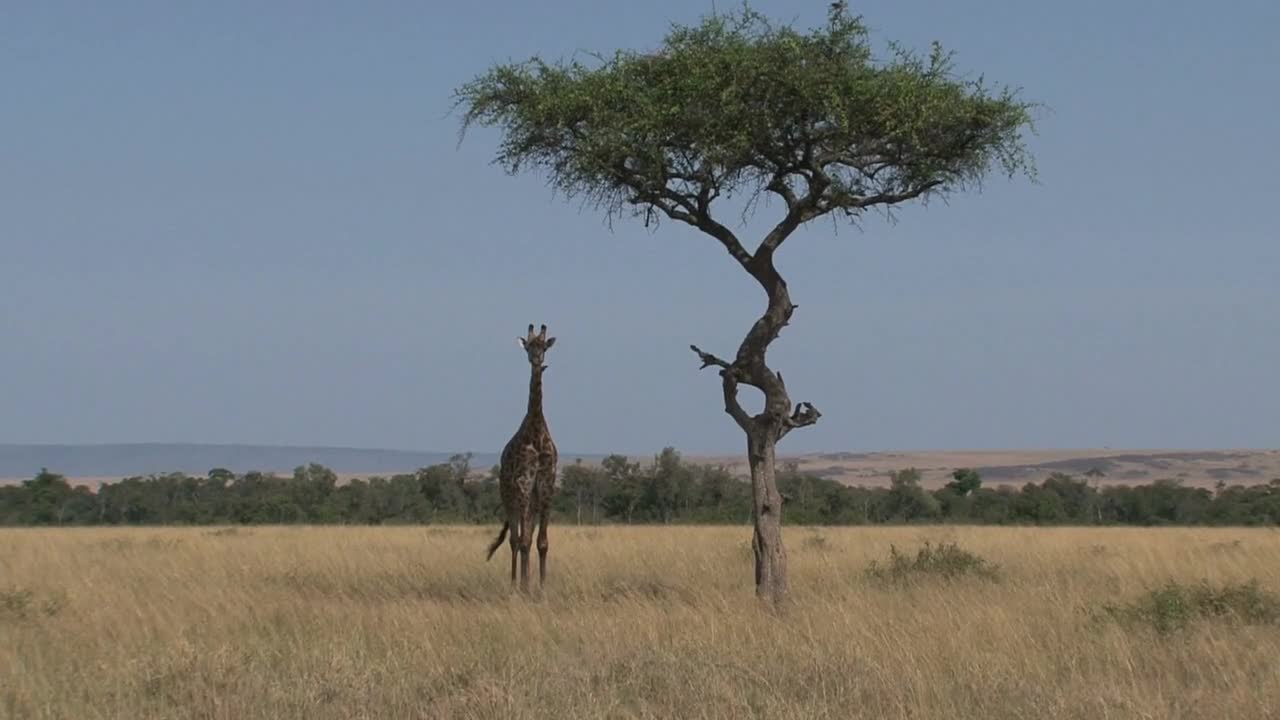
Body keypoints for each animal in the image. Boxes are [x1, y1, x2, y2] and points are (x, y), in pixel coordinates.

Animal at [483, 320, 555, 589]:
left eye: (543, 346)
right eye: (528, 347)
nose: (537, 361)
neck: (536, 432)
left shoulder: (545, 486)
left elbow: (541, 542)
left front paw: (542, 587)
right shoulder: (523, 484)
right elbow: (522, 541)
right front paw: (524, 587)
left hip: (530, 500)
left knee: (527, 537)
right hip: (509, 497)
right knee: (515, 540)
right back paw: (515, 583)